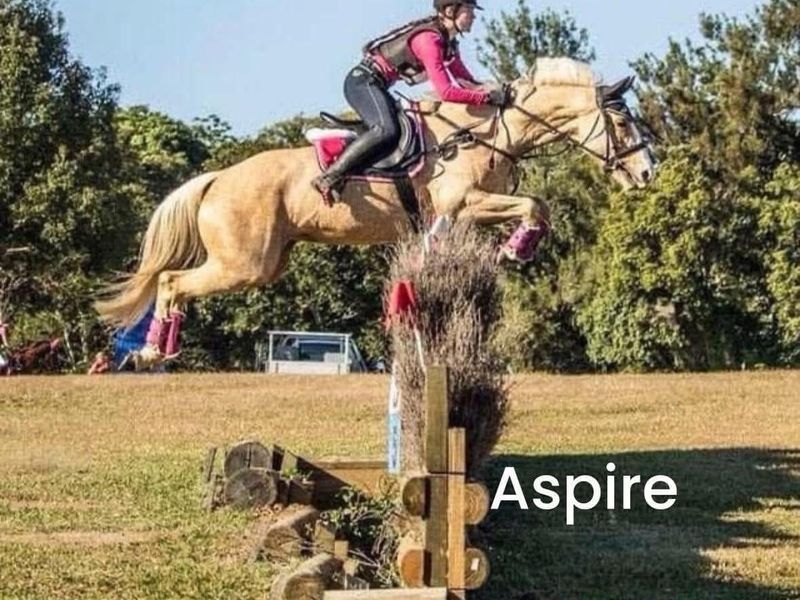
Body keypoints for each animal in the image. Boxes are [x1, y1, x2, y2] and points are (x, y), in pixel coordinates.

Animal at [96, 57, 656, 367]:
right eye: (622, 124)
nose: (647, 173)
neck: (490, 131)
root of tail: (217, 179)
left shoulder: (470, 211)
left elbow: (535, 207)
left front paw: (516, 246)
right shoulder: (462, 203)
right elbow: (534, 204)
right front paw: (519, 248)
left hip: (265, 262)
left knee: (172, 281)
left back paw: (157, 348)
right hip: (243, 264)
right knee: (170, 280)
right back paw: (153, 351)